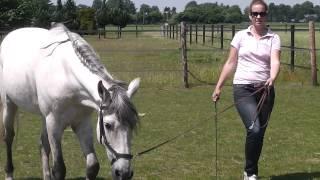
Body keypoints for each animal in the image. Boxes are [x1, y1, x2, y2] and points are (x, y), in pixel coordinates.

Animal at [0, 23, 140, 179]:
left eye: (133, 124)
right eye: (108, 125)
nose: (124, 172)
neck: (67, 76)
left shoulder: (82, 123)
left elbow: (92, 166)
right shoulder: (54, 124)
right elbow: (59, 169)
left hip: (43, 116)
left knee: (43, 144)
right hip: (9, 104)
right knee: (9, 137)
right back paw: (9, 173)